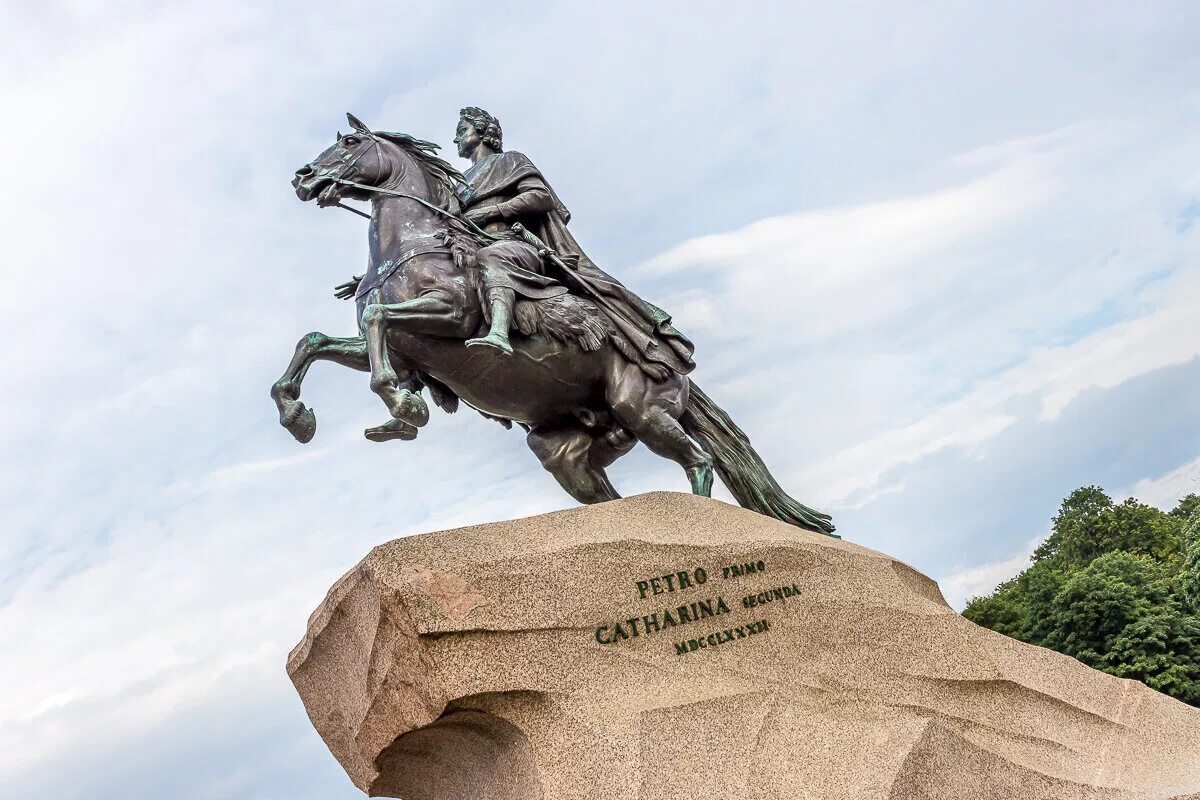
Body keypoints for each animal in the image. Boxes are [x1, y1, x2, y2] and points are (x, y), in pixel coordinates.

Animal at [272, 112, 835, 534]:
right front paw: (299, 416)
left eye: (348, 142)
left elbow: (376, 320)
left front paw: (404, 405)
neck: (411, 241)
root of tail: (681, 374)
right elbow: (316, 341)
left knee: (699, 462)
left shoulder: (450, 315)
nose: (303, 178)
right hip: (566, 450)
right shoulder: (400, 348)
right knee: (608, 494)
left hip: (644, 413)